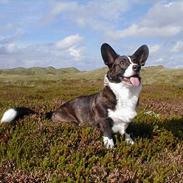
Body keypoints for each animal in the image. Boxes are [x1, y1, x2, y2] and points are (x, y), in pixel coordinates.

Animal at [0, 43, 149, 149]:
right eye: (123, 63)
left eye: (136, 62)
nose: (136, 67)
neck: (124, 93)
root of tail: (53, 112)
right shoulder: (103, 120)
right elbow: (108, 135)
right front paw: (110, 148)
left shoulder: (126, 124)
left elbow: (127, 133)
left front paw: (131, 143)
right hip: (71, 122)